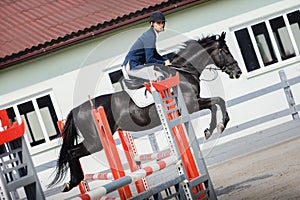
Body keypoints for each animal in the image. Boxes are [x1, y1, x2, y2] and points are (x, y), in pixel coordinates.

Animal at [49, 32, 241, 191]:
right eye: (225, 51)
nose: (237, 72)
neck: (183, 73)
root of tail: (76, 110)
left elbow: (216, 103)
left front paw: (211, 129)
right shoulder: (192, 104)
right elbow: (217, 101)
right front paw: (217, 127)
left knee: (71, 151)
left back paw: (71, 183)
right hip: (96, 141)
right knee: (71, 152)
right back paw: (73, 181)